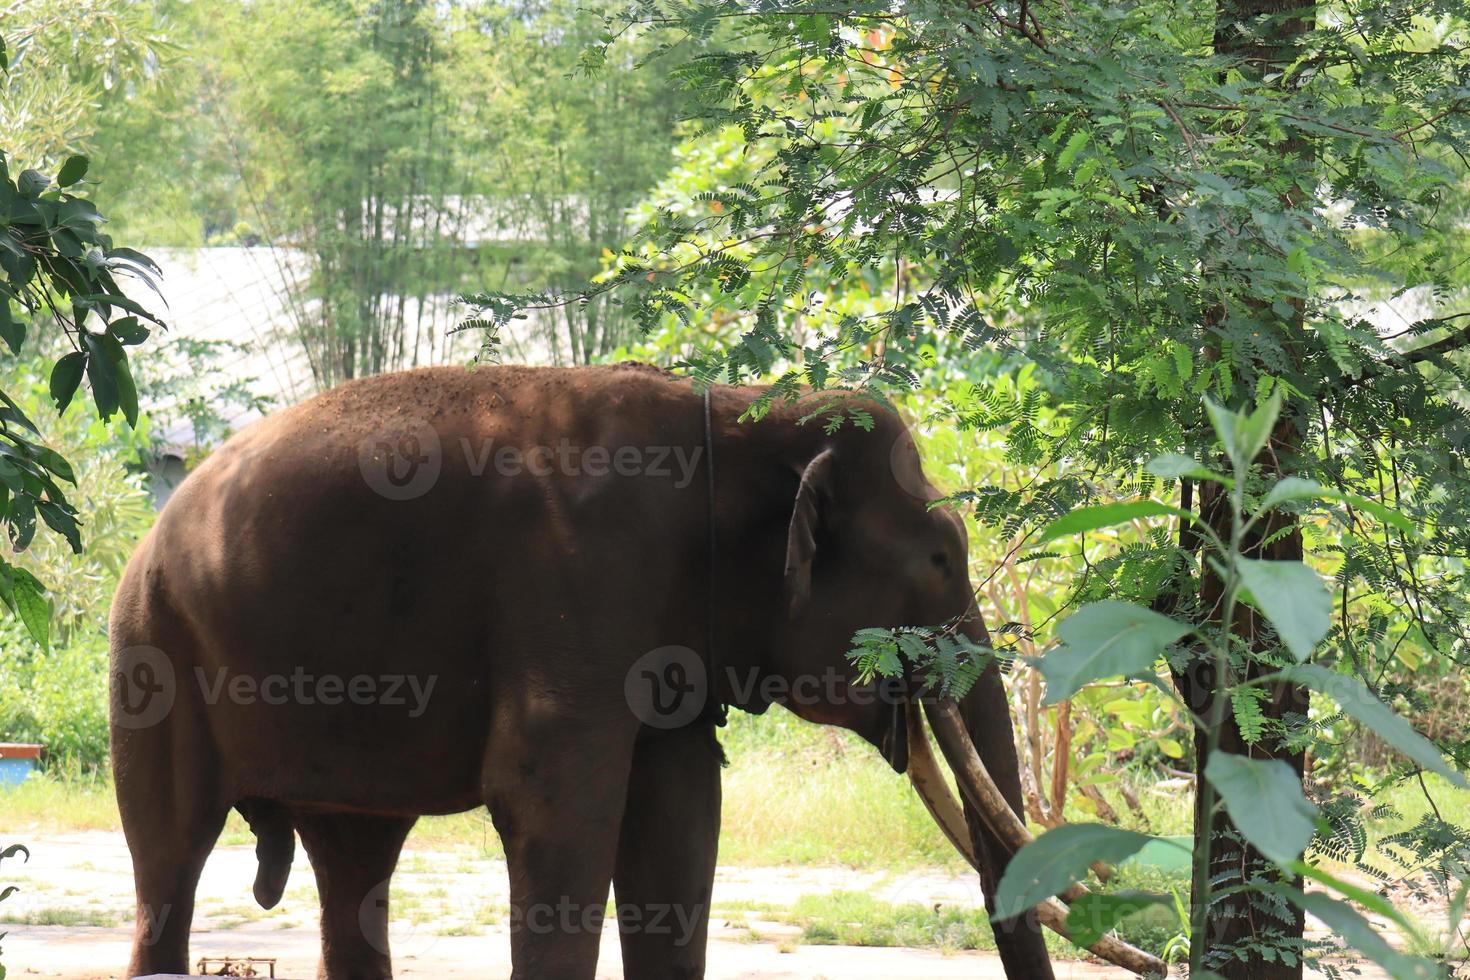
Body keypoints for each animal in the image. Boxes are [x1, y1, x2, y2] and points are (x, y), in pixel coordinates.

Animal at [111, 362, 1070, 980]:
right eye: (943, 560)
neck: (739, 417)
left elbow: (679, 820)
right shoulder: (579, 578)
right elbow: (557, 803)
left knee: (357, 865)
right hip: (155, 654)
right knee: (170, 864)